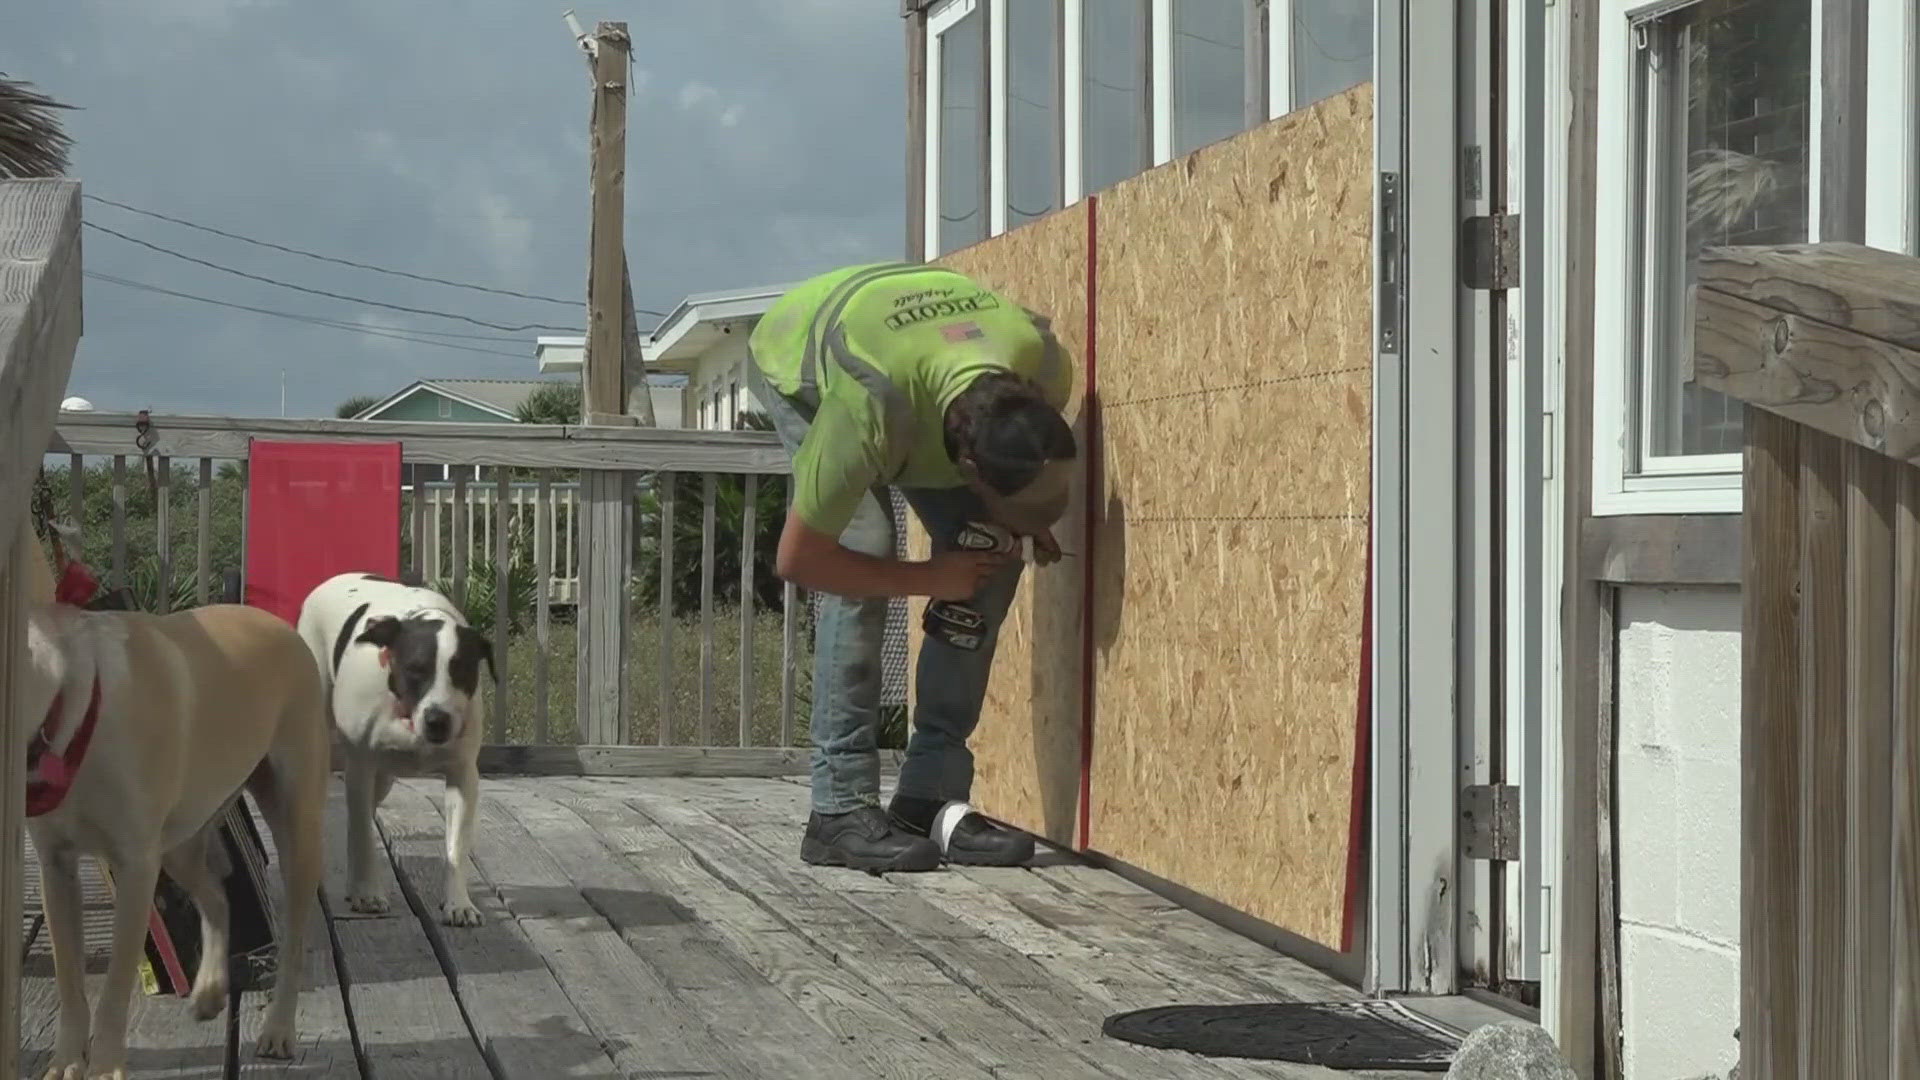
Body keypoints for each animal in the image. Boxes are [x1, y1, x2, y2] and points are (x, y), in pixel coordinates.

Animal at [15, 518, 330, 1068]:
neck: (72, 709)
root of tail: (278, 626)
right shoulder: (57, 868)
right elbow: (70, 984)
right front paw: (66, 1065)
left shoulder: (136, 867)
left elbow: (113, 992)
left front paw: (104, 1070)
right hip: (181, 844)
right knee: (218, 896)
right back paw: (208, 992)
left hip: (293, 823)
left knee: (293, 941)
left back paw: (278, 1029)